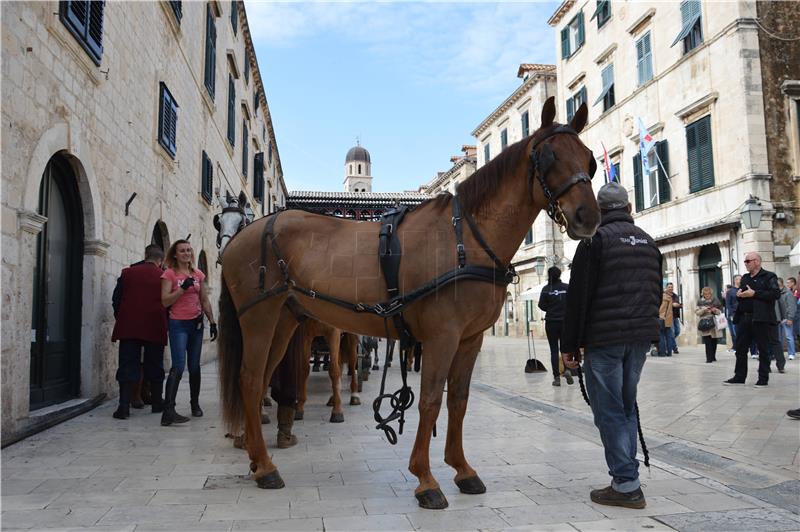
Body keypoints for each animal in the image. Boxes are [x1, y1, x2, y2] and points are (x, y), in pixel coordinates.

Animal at [216, 97, 596, 510]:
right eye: (549, 157)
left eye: (589, 159)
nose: (588, 217)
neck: (466, 238)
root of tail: (240, 238)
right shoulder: (442, 337)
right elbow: (429, 400)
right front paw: (426, 480)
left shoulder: (470, 338)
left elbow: (458, 400)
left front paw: (462, 469)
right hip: (259, 318)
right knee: (250, 379)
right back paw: (266, 467)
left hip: (284, 321)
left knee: (262, 379)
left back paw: (257, 459)